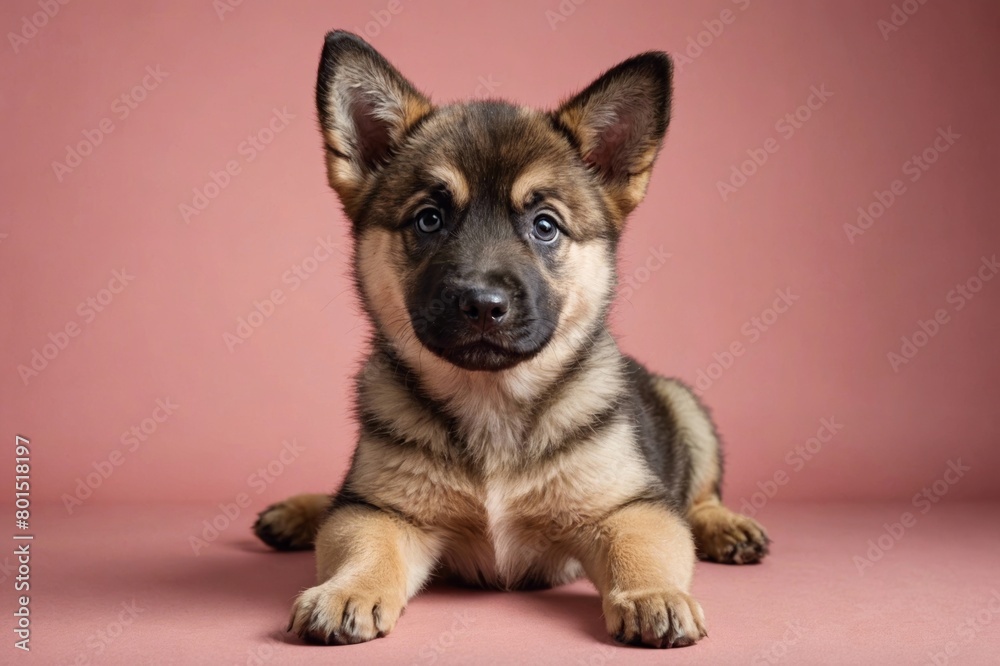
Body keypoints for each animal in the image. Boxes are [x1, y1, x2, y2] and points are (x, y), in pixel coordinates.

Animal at [254, 31, 768, 648]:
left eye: (544, 225)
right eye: (428, 219)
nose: (482, 304)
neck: (492, 401)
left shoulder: (630, 508)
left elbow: (643, 548)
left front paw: (653, 596)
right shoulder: (380, 511)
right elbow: (362, 544)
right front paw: (346, 589)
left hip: (687, 409)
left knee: (699, 497)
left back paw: (725, 524)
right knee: (337, 498)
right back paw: (300, 512)